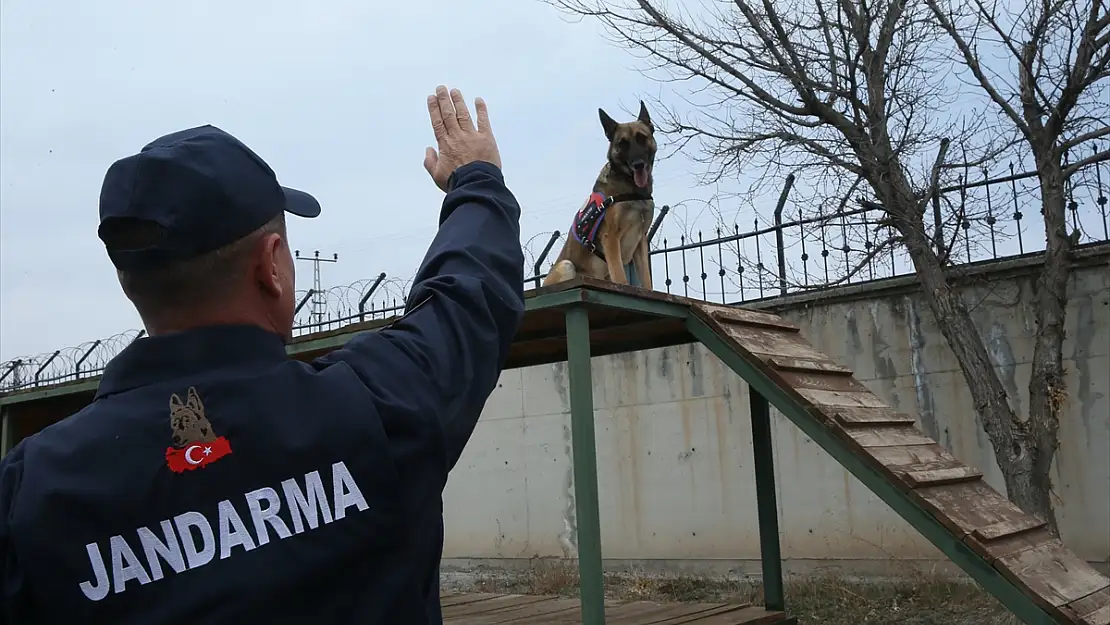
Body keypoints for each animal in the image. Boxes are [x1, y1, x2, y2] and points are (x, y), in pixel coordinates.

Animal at [541, 101, 652, 290]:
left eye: (641, 138)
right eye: (622, 143)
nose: (638, 164)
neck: (632, 190)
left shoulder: (641, 242)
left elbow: (647, 281)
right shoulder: (611, 238)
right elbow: (621, 278)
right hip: (566, 265)